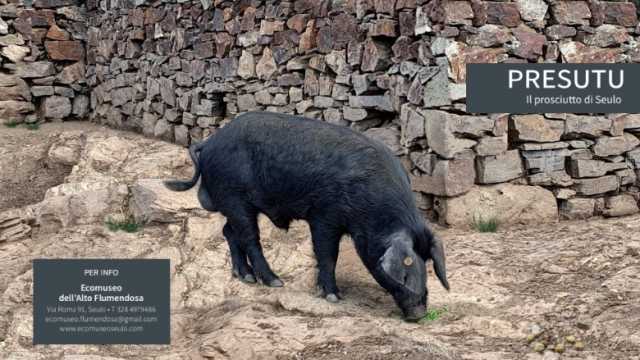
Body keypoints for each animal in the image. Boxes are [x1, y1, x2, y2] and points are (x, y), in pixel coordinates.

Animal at [165, 111, 450, 320]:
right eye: (406, 270)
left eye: (427, 265)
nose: (419, 314)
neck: (371, 210)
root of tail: (208, 143)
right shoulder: (324, 215)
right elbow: (327, 254)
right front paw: (333, 297)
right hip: (235, 198)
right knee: (249, 238)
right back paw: (274, 282)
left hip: (234, 203)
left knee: (229, 232)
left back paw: (245, 277)